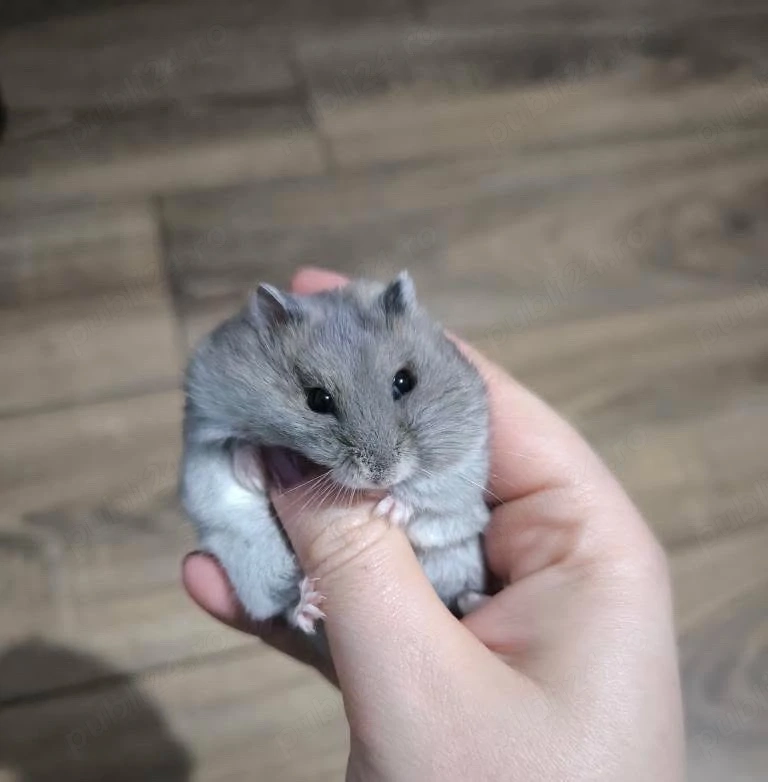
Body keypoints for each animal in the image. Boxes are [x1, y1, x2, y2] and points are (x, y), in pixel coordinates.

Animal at [180, 272, 490, 633]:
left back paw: (475, 600)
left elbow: (431, 492)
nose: (381, 475)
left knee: (462, 594)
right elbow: (231, 446)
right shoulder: (204, 425)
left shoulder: (467, 460)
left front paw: (388, 511)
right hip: (256, 569)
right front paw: (257, 473)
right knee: (281, 605)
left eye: (404, 381)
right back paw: (309, 605)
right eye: (317, 399)